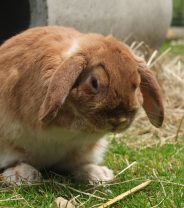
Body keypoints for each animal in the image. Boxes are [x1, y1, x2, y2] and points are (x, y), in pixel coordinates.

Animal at [0, 25, 164, 184]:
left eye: (136, 86)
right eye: (94, 83)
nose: (119, 121)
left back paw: (98, 174)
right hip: (9, 148)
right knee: (16, 162)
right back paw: (22, 176)